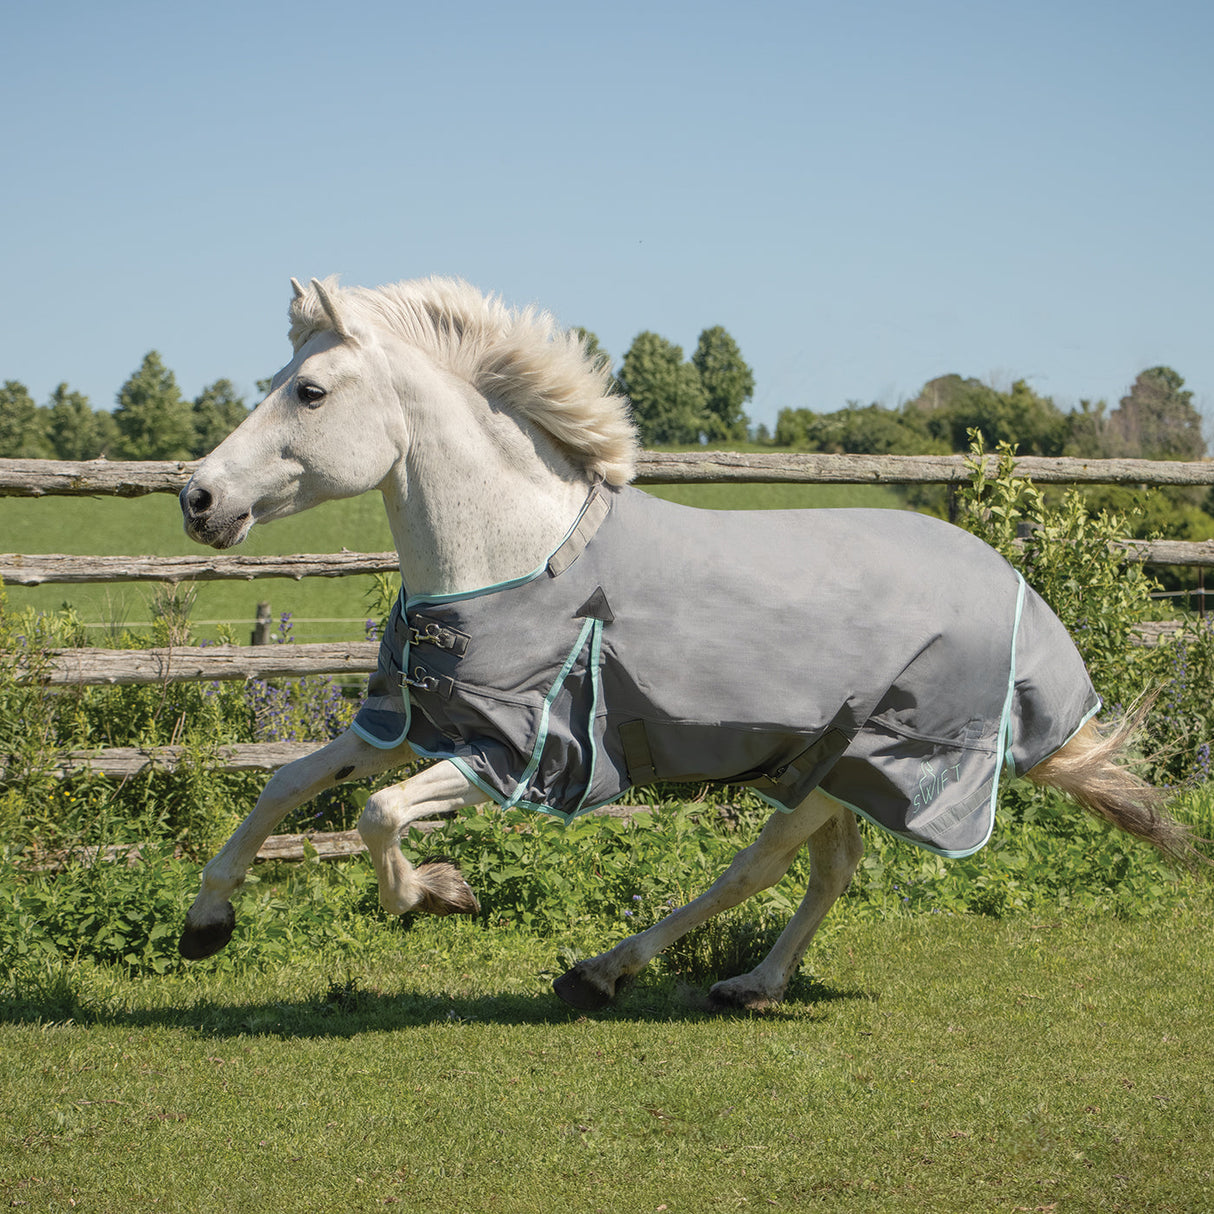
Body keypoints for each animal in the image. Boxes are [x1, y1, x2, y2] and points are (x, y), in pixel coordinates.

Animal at [178, 276, 1193, 1011]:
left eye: (309, 391)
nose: (197, 498)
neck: (517, 556)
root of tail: (1015, 590)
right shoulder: (414, 724)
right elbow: (285, 786)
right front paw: (206, 922)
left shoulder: (524, 753)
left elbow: (378, 816)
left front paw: (439, 894)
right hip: (830, 768)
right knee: (827, 872)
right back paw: (748, 984)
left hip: (859, 761)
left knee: (762, 867)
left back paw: (606, 971)